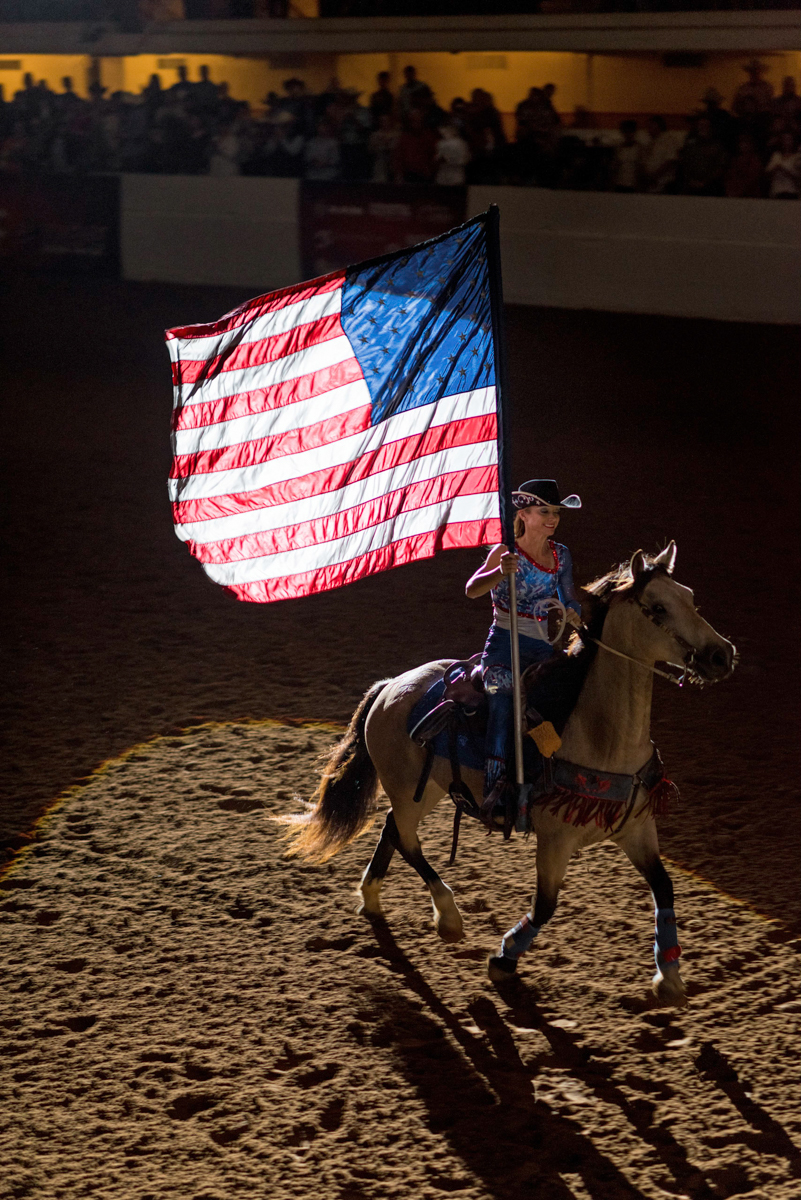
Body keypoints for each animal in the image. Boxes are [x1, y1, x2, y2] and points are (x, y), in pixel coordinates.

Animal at [281, 543, 736, 1007]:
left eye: (690, 598)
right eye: (658, 608)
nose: (722, 655)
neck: (601, 736)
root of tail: (389, 687)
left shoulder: (637, 830)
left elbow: (664, 887)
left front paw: (670, 976)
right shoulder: (555, 839)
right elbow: (545, 904)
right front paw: (503, 959)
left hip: (427, 790)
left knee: (392, 828)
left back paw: (371, 897)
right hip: (409, 789)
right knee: (407, 840)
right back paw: (448, 917)